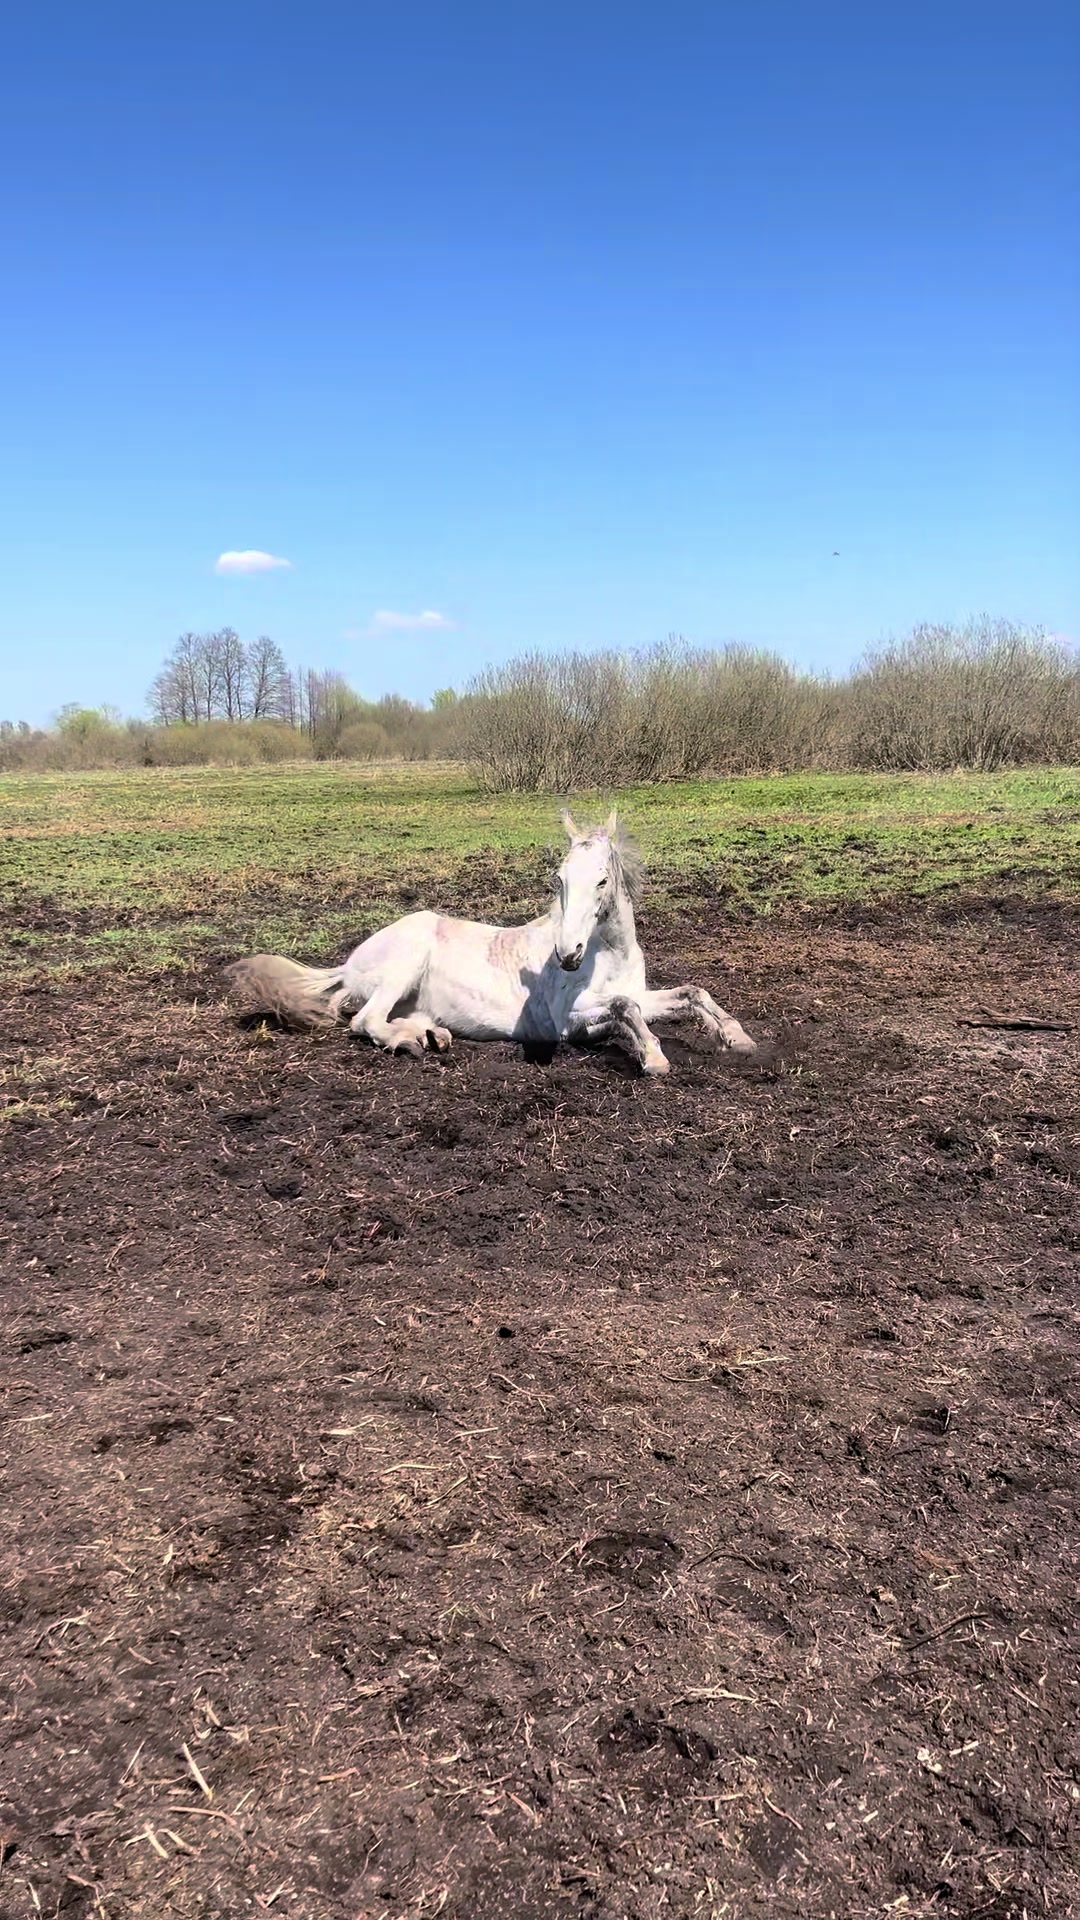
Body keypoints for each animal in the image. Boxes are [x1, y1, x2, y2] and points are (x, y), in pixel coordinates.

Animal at [226, 810, 756, 1076]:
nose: (567, 956)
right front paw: (654, 1057)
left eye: (603, 880)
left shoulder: (644, 995)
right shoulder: (569, 1020)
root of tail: (350, 961)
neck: (609, 955)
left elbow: (691, 992)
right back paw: (409, 1043)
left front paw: (739, 1039)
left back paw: (432, 1036)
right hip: (403, 965)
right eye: (558, 879)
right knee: (364, 1020)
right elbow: (625, 1009)